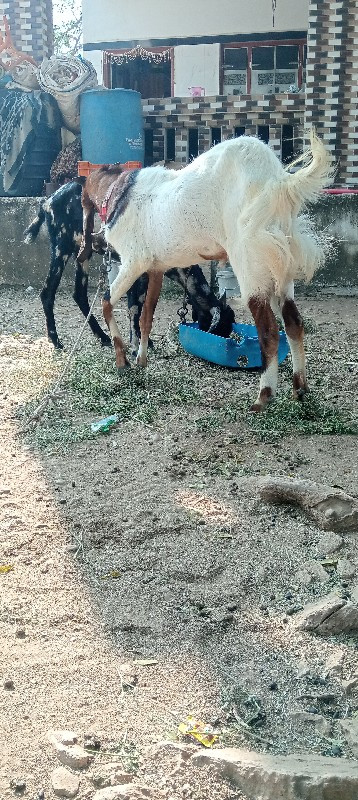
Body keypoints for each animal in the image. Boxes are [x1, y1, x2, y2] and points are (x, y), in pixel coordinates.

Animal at [82, 130, 332, 410]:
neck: (119, 191)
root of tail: (276, 181)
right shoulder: (156, 268)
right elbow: (146, 317)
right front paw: (141, 360)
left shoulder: (133, 262)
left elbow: (106, 302)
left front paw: (122, 361)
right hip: (279, 265)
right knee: (293, 322)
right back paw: (299, 389)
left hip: (251, 263)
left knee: (268, 330)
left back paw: (263, 397)